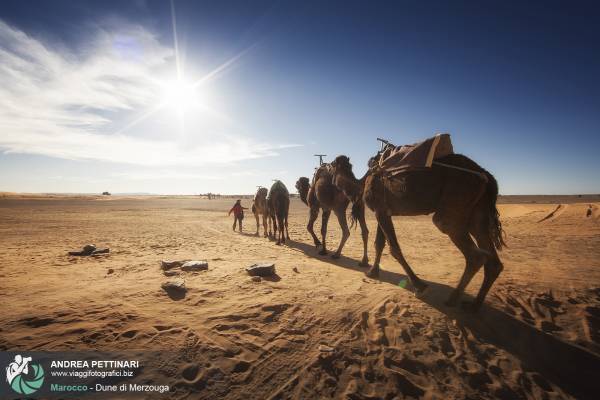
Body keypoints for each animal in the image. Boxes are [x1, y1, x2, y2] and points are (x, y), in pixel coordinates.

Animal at [330, 151, 504, 312]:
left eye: (331, 167)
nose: (330, 179)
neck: (362, 182)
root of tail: (486, 176)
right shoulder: (383, 211)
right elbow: (379, 243)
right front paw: (372, 272)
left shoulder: (380, 210)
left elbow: (394, 248)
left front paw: (419, 286)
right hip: (477, 211)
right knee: (493, 261)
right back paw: (474, 305)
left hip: (454, 203)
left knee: (474, 254)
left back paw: (452, 299)